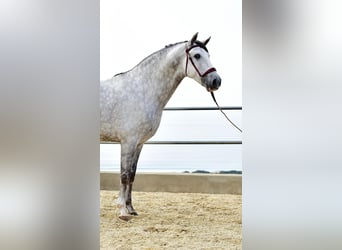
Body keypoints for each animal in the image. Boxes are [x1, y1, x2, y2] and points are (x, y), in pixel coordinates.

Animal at [100, 33, 220, 221]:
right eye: (197, 56)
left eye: (209, 55)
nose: (216, 81)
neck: (142, 90)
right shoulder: (128, 142)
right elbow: (124, 176)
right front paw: (123, 212)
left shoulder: (139, 144)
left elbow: (132, 175)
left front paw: (131, 209)